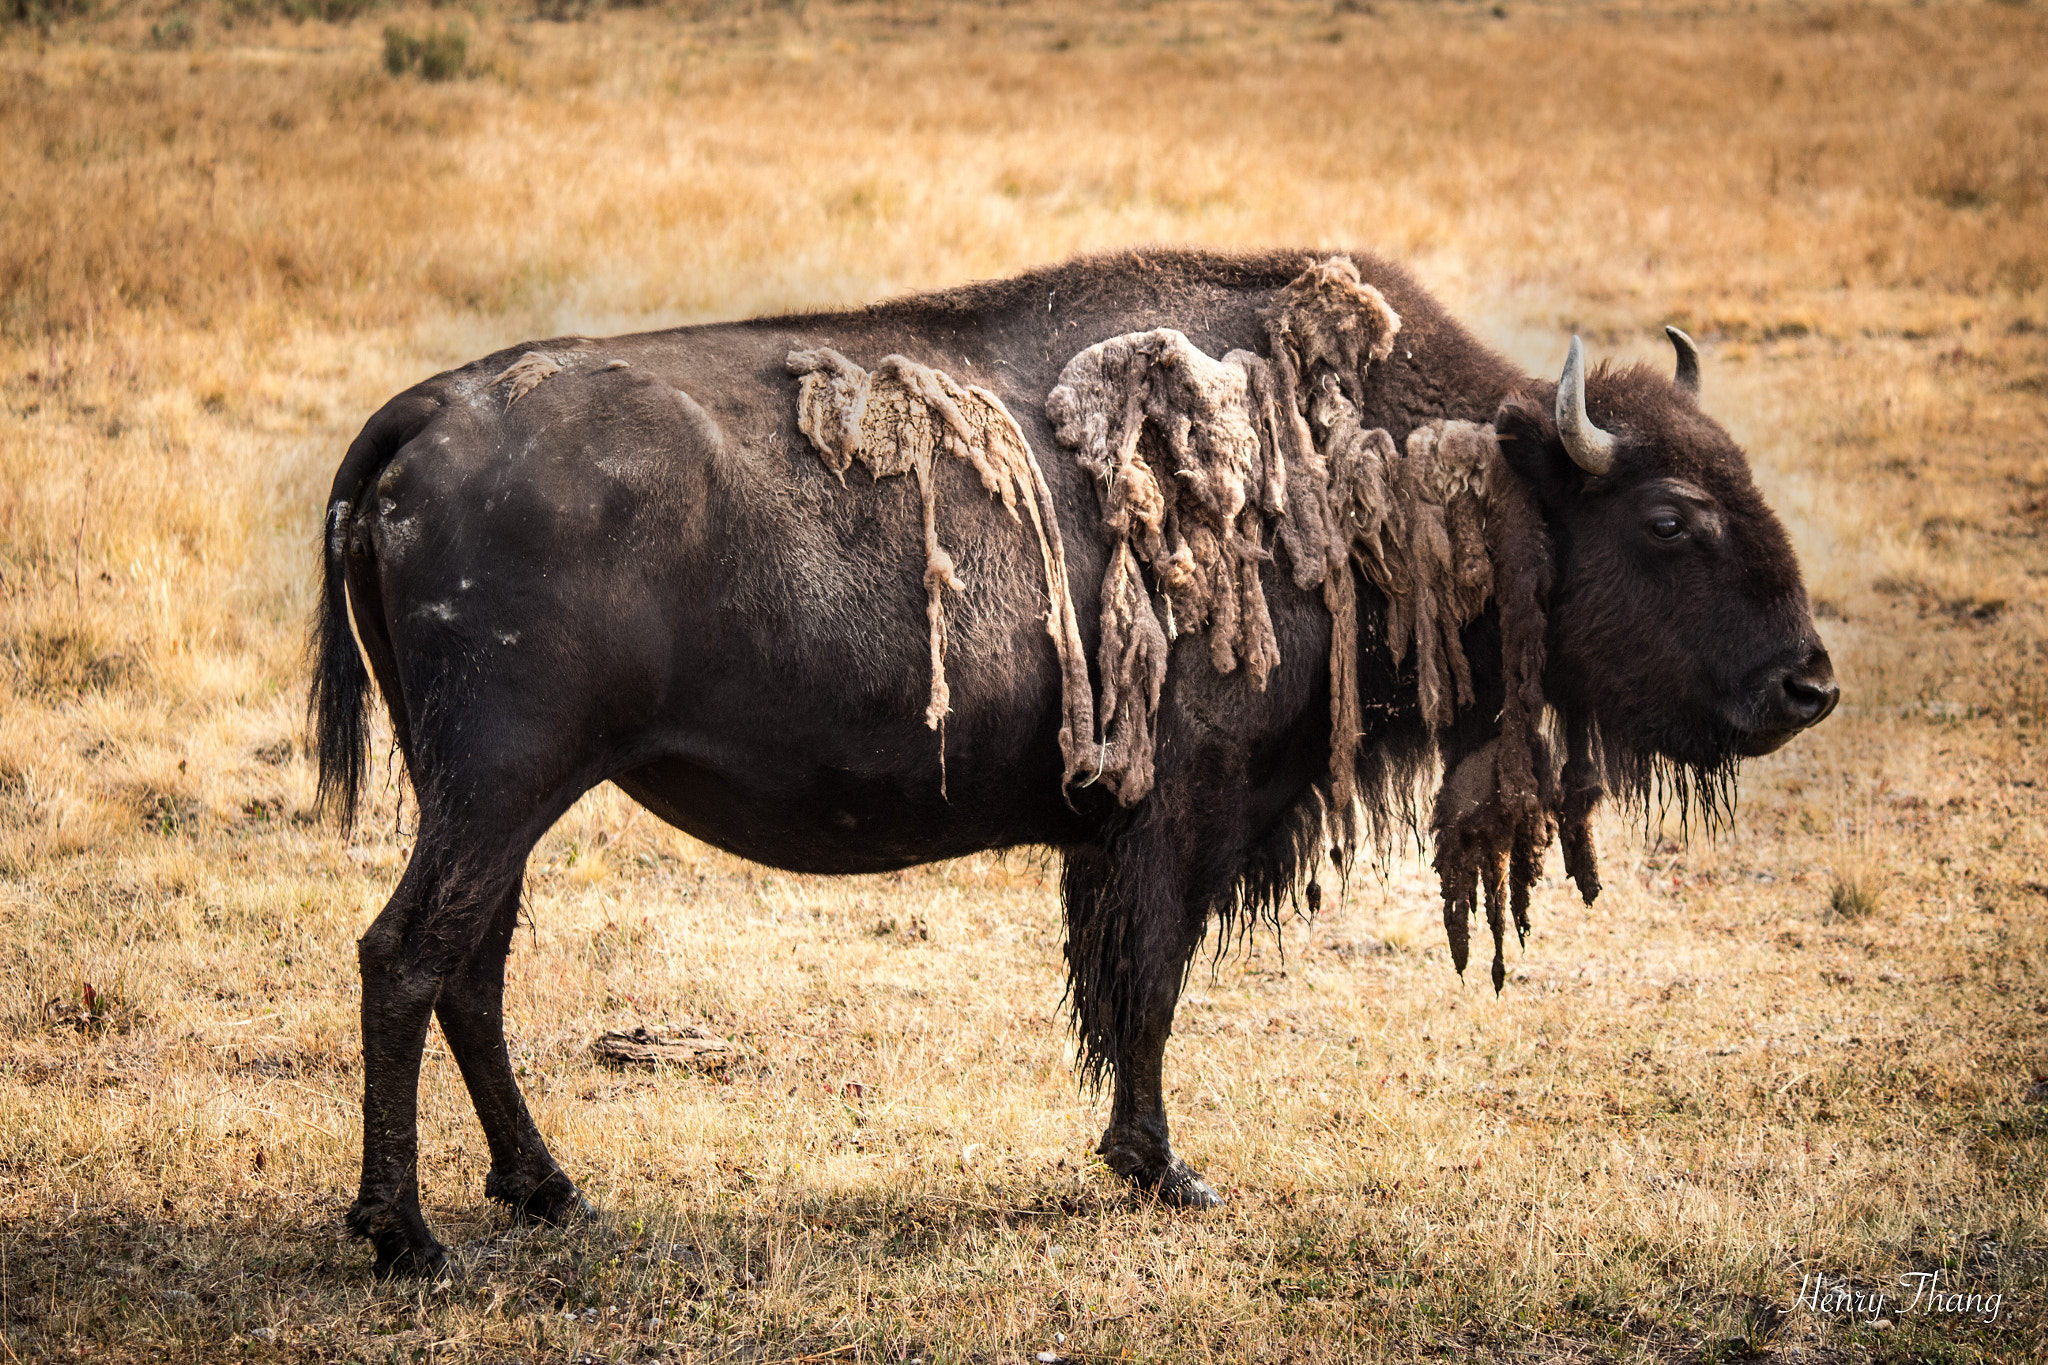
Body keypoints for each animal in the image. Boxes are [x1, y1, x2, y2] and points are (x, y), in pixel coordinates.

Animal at [311, 248, 1836, 1274]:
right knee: (407, 956)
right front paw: (1164, 1172)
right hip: (501, 788)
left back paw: (545, 1189)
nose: (1809, 683)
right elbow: (1146, 993)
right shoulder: (1179, 820)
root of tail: (427, 414)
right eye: (1671, 517)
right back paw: (407, 1236)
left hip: (499, 803)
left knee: (470, 969)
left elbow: (1131, 993)